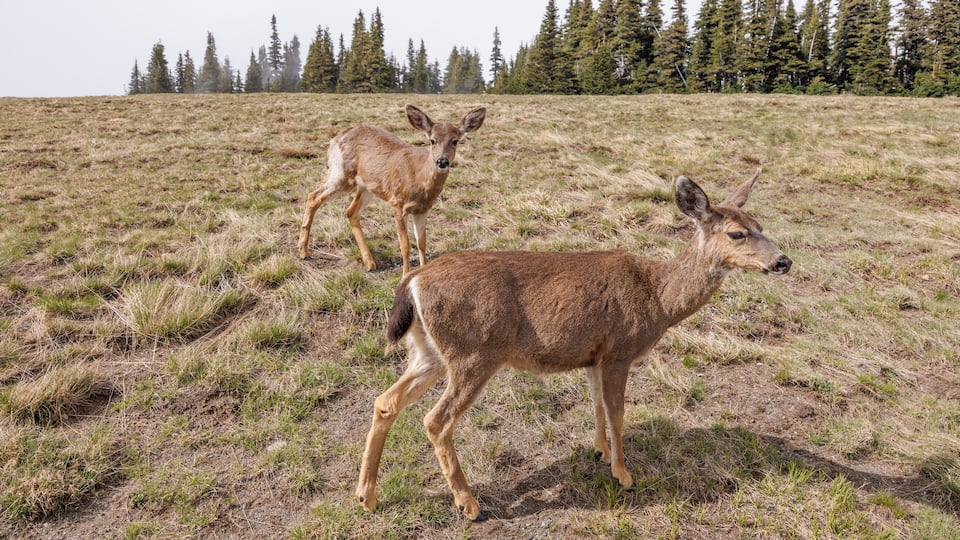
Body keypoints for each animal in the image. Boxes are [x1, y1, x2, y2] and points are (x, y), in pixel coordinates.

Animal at [297, 105, 487, 275]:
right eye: (432, 140)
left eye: (455, 141)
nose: (442, 161)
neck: (420, 181)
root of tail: (335, 138)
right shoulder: (397, 203)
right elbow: (405, 245)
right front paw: (404, 275)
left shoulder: (423, 210)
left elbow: (422, 244)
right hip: (342, 174)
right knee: (313, 196)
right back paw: (303, 251)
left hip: (367, 187)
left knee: (350, 211)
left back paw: (369, 263)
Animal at [354, 169, 793, 521]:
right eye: (736, 233)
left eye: (760, 223)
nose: (783, 261)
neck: (659, 298)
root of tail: (411, 283)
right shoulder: (619, 350)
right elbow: (618, 413)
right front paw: (624, 475)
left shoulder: (595, 355)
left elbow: (597, 404)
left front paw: (600, 452)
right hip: (474, 351)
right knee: (435, 420)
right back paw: (470, 504)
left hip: (429, 351)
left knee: (385, 401)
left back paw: (366, 497)